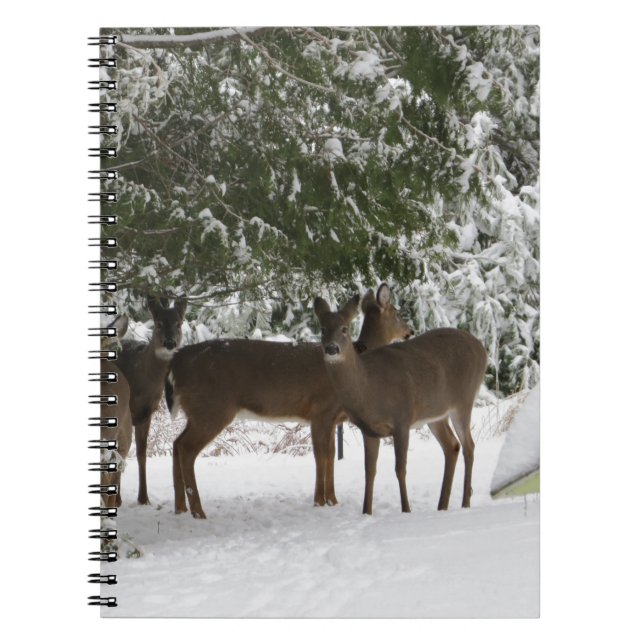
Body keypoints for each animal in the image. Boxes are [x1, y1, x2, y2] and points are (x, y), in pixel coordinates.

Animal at [115, 296, 187, 505]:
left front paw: (144, 498)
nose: (170, 343)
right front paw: (119, 499)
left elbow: (141, 454)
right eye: (158, 323)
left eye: (179, 324)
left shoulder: (147, 413)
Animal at [167, 284, 413, 519]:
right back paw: (198, 511)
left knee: (177, 444)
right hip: (212, 407)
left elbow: (332, 455)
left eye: (344, 328)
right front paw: (320, 501)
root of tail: (176, 362)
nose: (410, 331)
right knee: (187, 449)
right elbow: (322, 455)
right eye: (398, 313)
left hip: (197, 411)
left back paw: (180, 507)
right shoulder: (321, 411)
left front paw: (333, 500)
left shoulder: (332, 419)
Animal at [314, 285, 488, 515]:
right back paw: (442, 506)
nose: (331, 349)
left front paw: (406, 510)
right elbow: (369, 471)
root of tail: (482, 349)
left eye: (344, 328)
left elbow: (400, 469)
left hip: (464, 400)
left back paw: (465, 503)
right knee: (452, 446)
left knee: (469, 446)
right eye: (322, 329)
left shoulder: (402, 419)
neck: (369, 387)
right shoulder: (369, 429)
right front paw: (366, 512)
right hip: (436, 414)